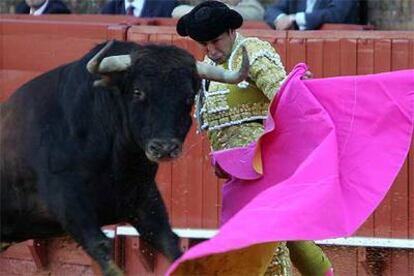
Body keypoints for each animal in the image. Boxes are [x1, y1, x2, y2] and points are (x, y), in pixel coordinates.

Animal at [0, 40, 249, 274]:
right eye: (138, 92)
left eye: (188, 97)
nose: (164, 147)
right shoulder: (69, 204)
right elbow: (101, 248)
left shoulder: (145, 200)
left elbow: (170, 243)